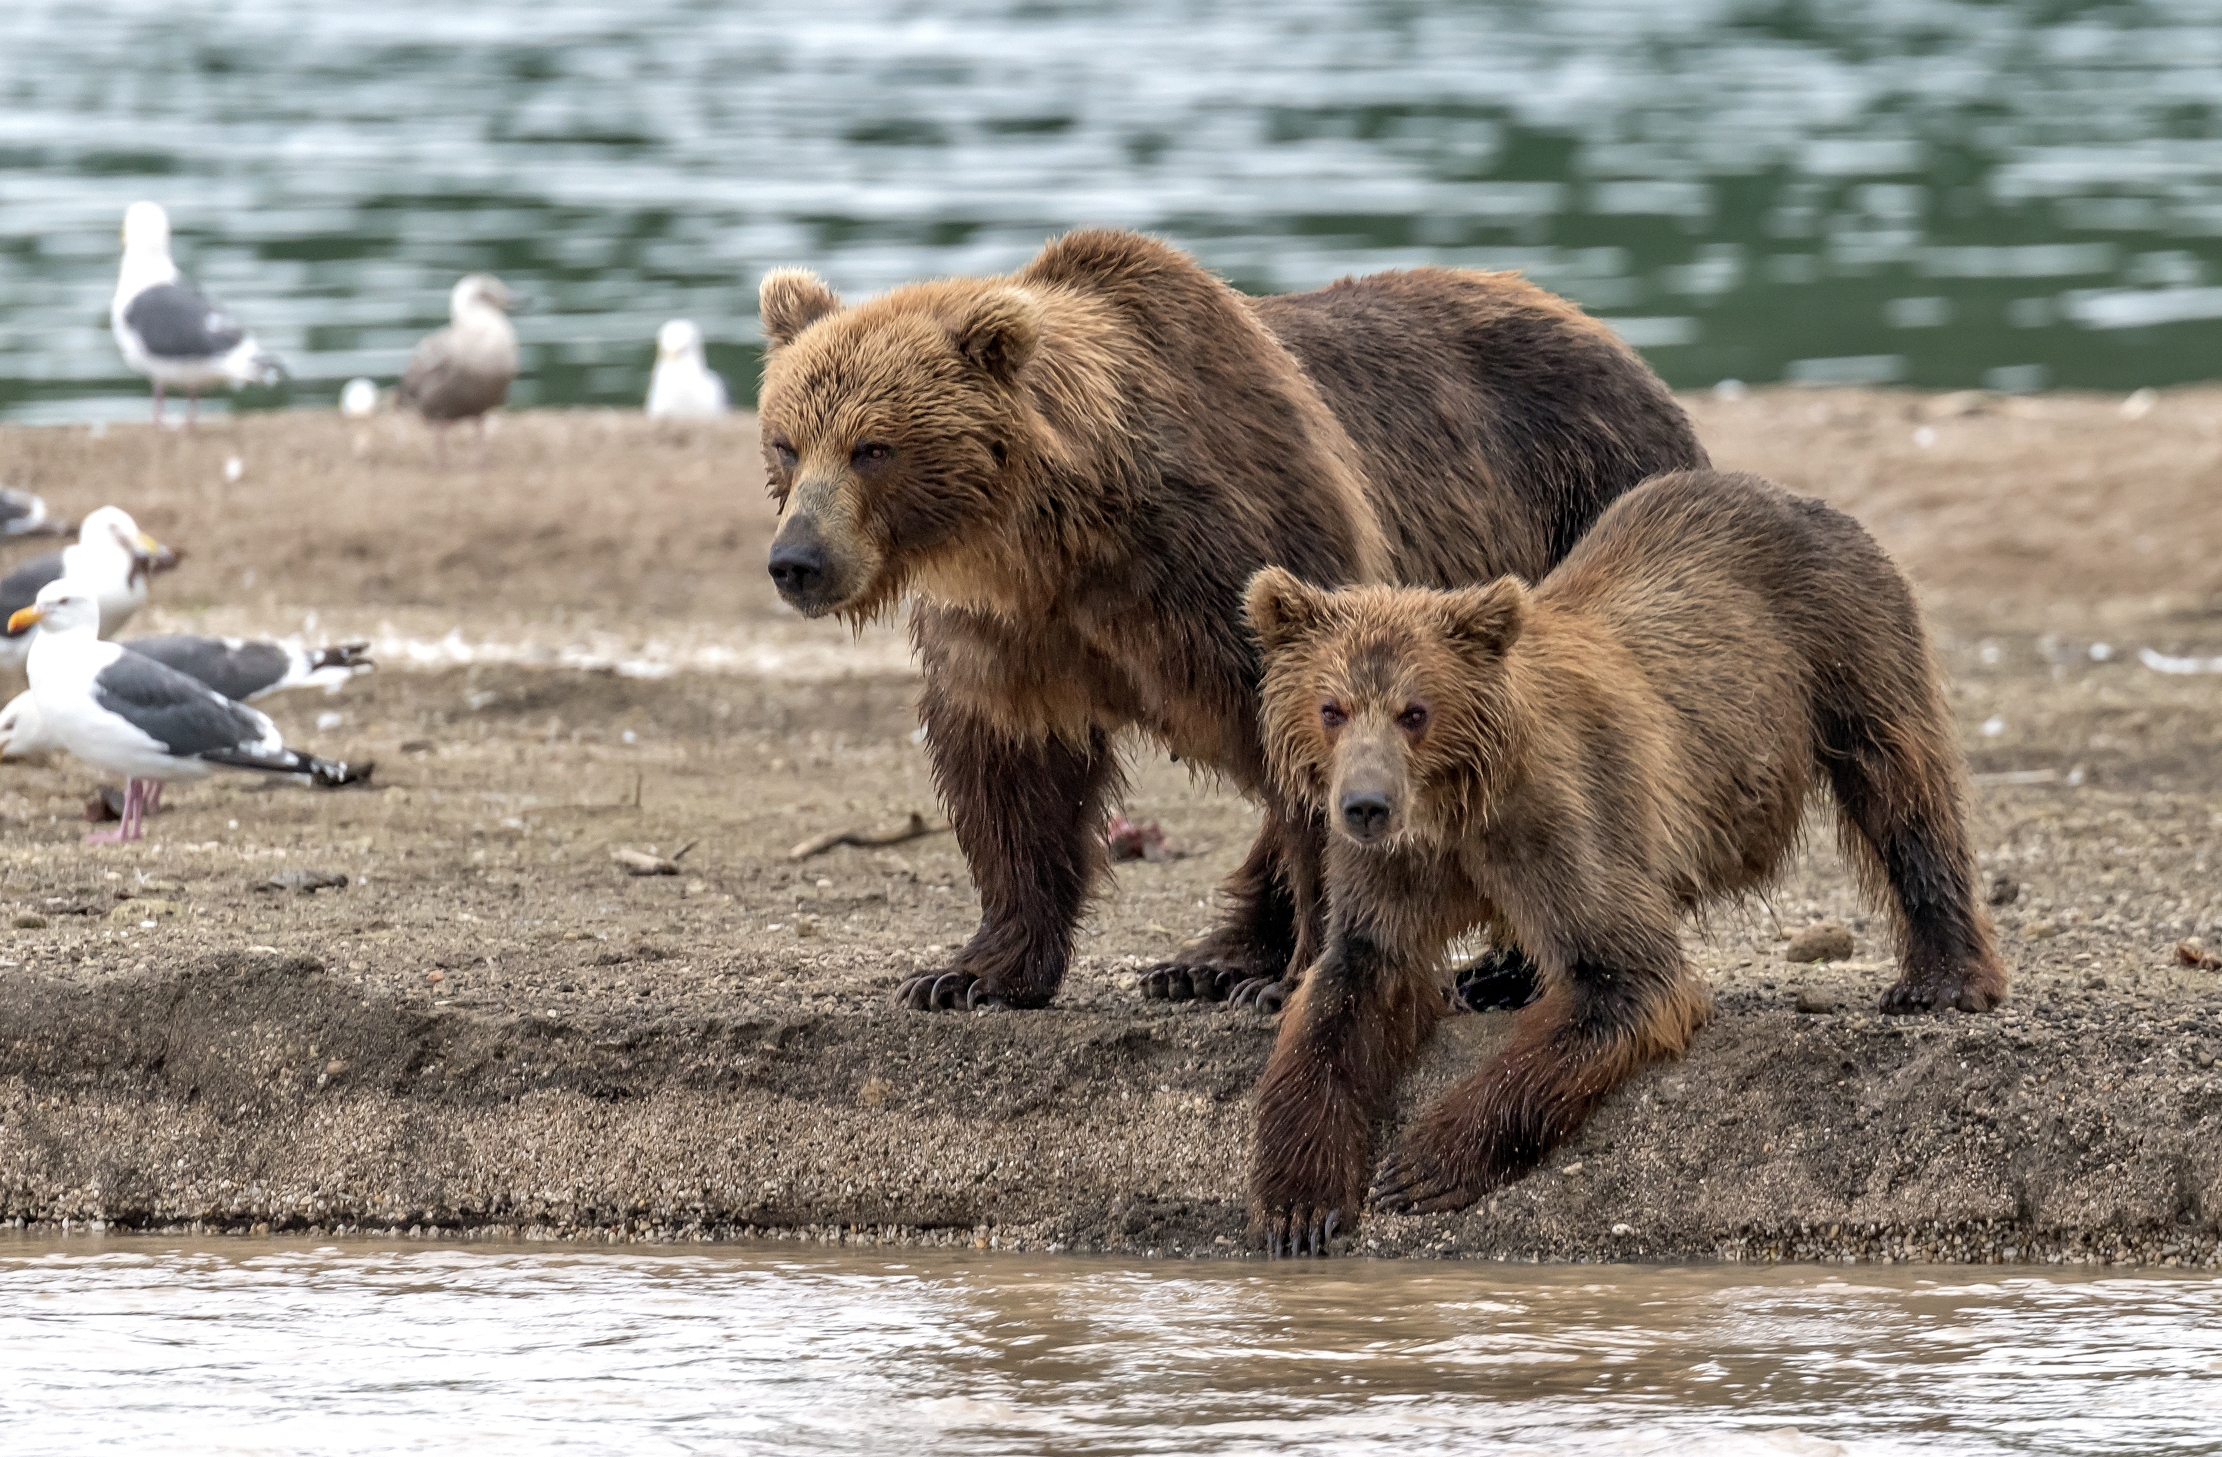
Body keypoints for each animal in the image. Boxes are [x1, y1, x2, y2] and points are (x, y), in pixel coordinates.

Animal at [754, 228, 1706, 1013]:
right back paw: (1209, 961)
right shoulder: (1016, 631)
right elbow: (1009, 769)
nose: (796, 559)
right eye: (787, 442)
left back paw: (1500, 973)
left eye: (874, 446)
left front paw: (1302, 979)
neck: (1067, 540)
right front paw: (969, 972)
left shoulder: (1241, 562)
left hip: (1580, 509)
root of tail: (1641, 368)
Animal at [1243, 468, 2008, 1255]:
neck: (1456, 808)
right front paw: (1298, 1205)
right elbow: (1352, 987)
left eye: (1415, 710)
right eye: (1332, 706)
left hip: (1845, 642)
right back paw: (1493, 979)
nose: (1365, 805)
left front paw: (1425, 1164)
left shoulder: (1560, 823)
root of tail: (1791, 494)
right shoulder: (1396, 868)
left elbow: (1627, 978)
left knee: (1901, 787)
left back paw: (1942, 978)